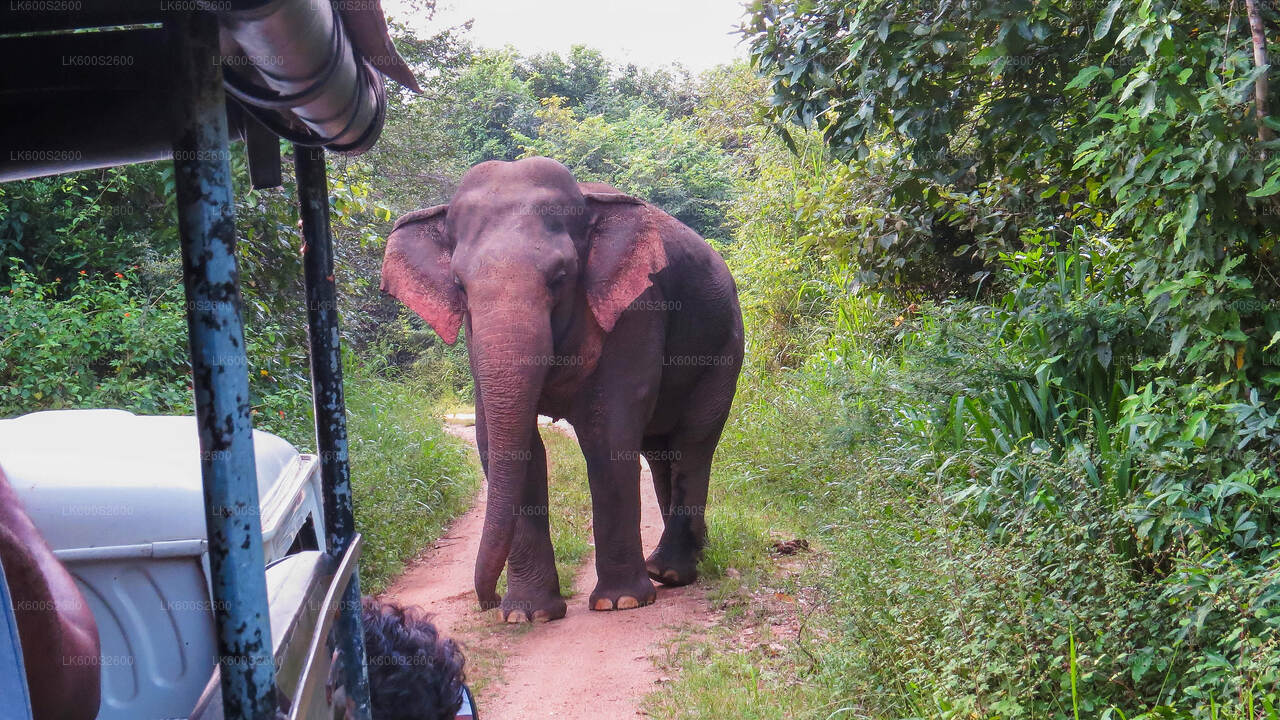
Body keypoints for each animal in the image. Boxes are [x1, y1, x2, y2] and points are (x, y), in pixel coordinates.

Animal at [376, 154, 742, 620]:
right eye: (459, 285)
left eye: (560, 277)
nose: (486, 601)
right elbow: (504, 442)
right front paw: (526, 614)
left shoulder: (636, 308)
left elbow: (608, 433)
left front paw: (620, 602)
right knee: (660, 452)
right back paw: (677, 563)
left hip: (725, 350)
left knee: (693, 443)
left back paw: (672, 572)